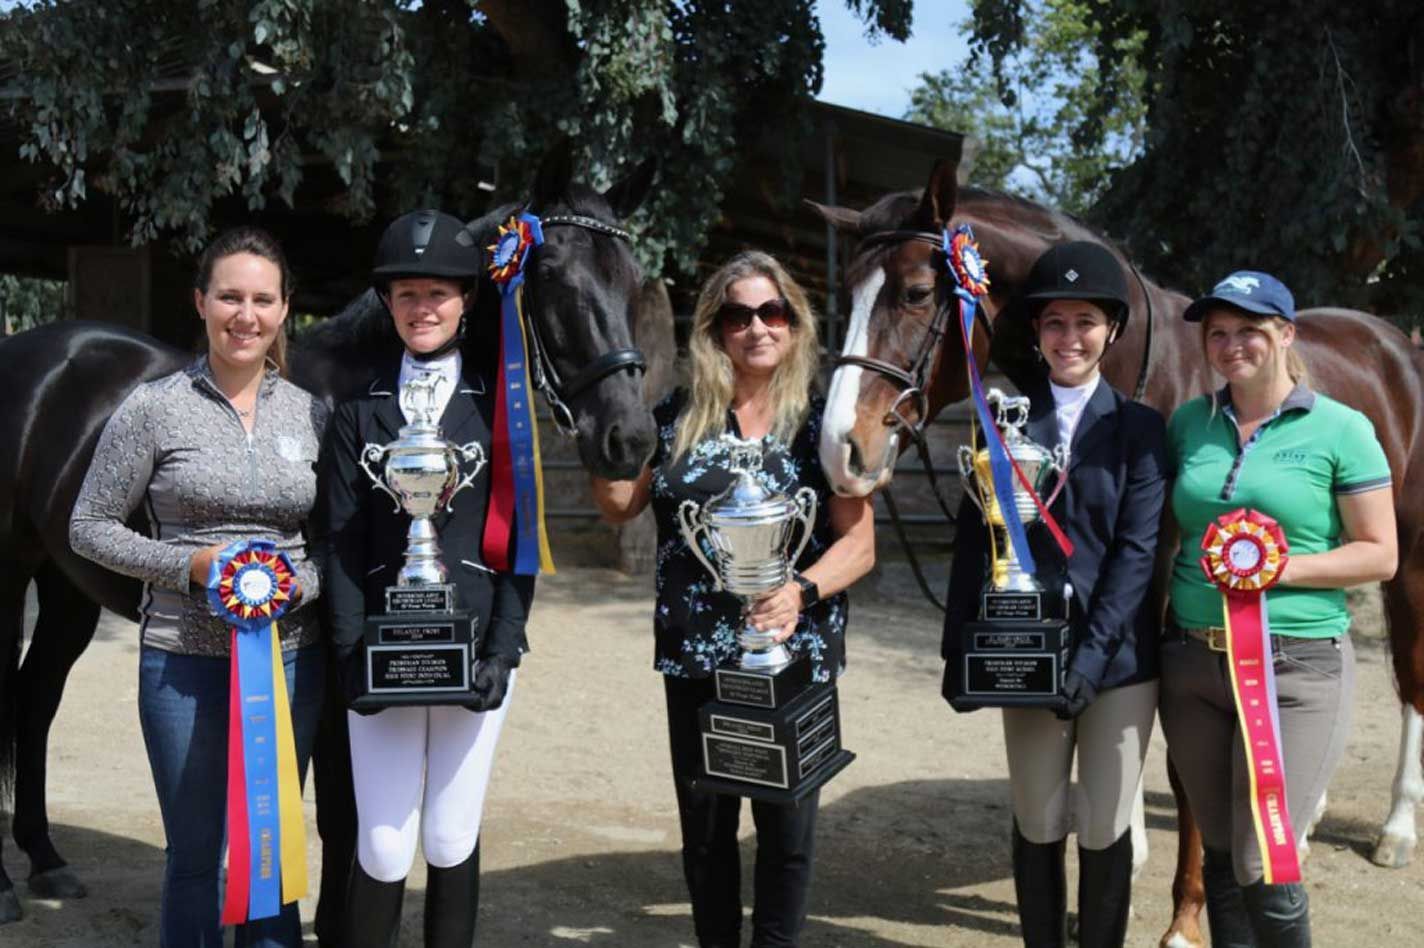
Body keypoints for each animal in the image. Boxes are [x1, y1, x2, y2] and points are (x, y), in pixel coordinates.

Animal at [0, 143, 655, 928]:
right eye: (552, 274)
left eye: (635, 283)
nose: (630, 439)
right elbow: (347, 819)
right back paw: (8, 887)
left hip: (68, 584)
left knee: (35, 698)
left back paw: (46, 859)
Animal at [814, 160, 1424, 945]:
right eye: (846, 292)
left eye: (918, 292)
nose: (840, 450)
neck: (1143, 370)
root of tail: (1395, 344)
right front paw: (1122, 867)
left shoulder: (1172, 583)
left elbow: (1180, 753)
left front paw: (1184, 918)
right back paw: (1305, 817)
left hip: (1408, 555)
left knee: (1410, 676)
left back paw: (1397, 829)